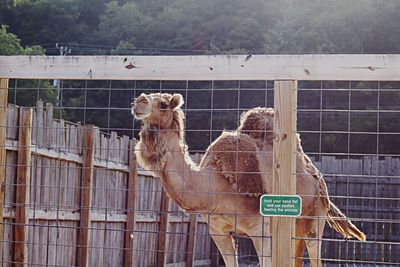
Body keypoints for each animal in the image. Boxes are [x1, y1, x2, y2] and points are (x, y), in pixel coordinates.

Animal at [131, 92, 366, 267]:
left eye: (163, 103)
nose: (139, 101)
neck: (217, 185)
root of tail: (319, 181)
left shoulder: (259, 229)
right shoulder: (217, 231)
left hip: (315, 217)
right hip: (295, 226)